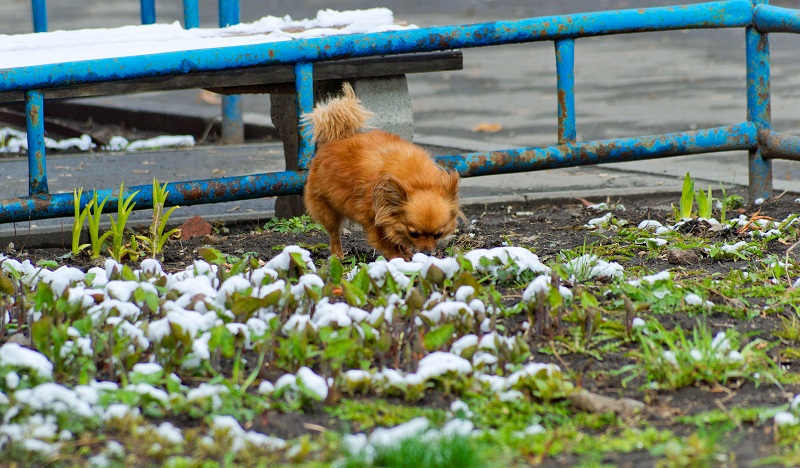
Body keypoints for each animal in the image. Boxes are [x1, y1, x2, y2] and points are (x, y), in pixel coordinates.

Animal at [300, 84, 462, 260]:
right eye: (414, 234)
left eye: (438, 235)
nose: (426, 253)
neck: (418, 181)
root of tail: (338, 138)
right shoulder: (374, 219)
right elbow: (387, 243)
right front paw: (401, 258)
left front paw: (408, 255)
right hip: (327, 209)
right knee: (334, 233)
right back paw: (338, 255)